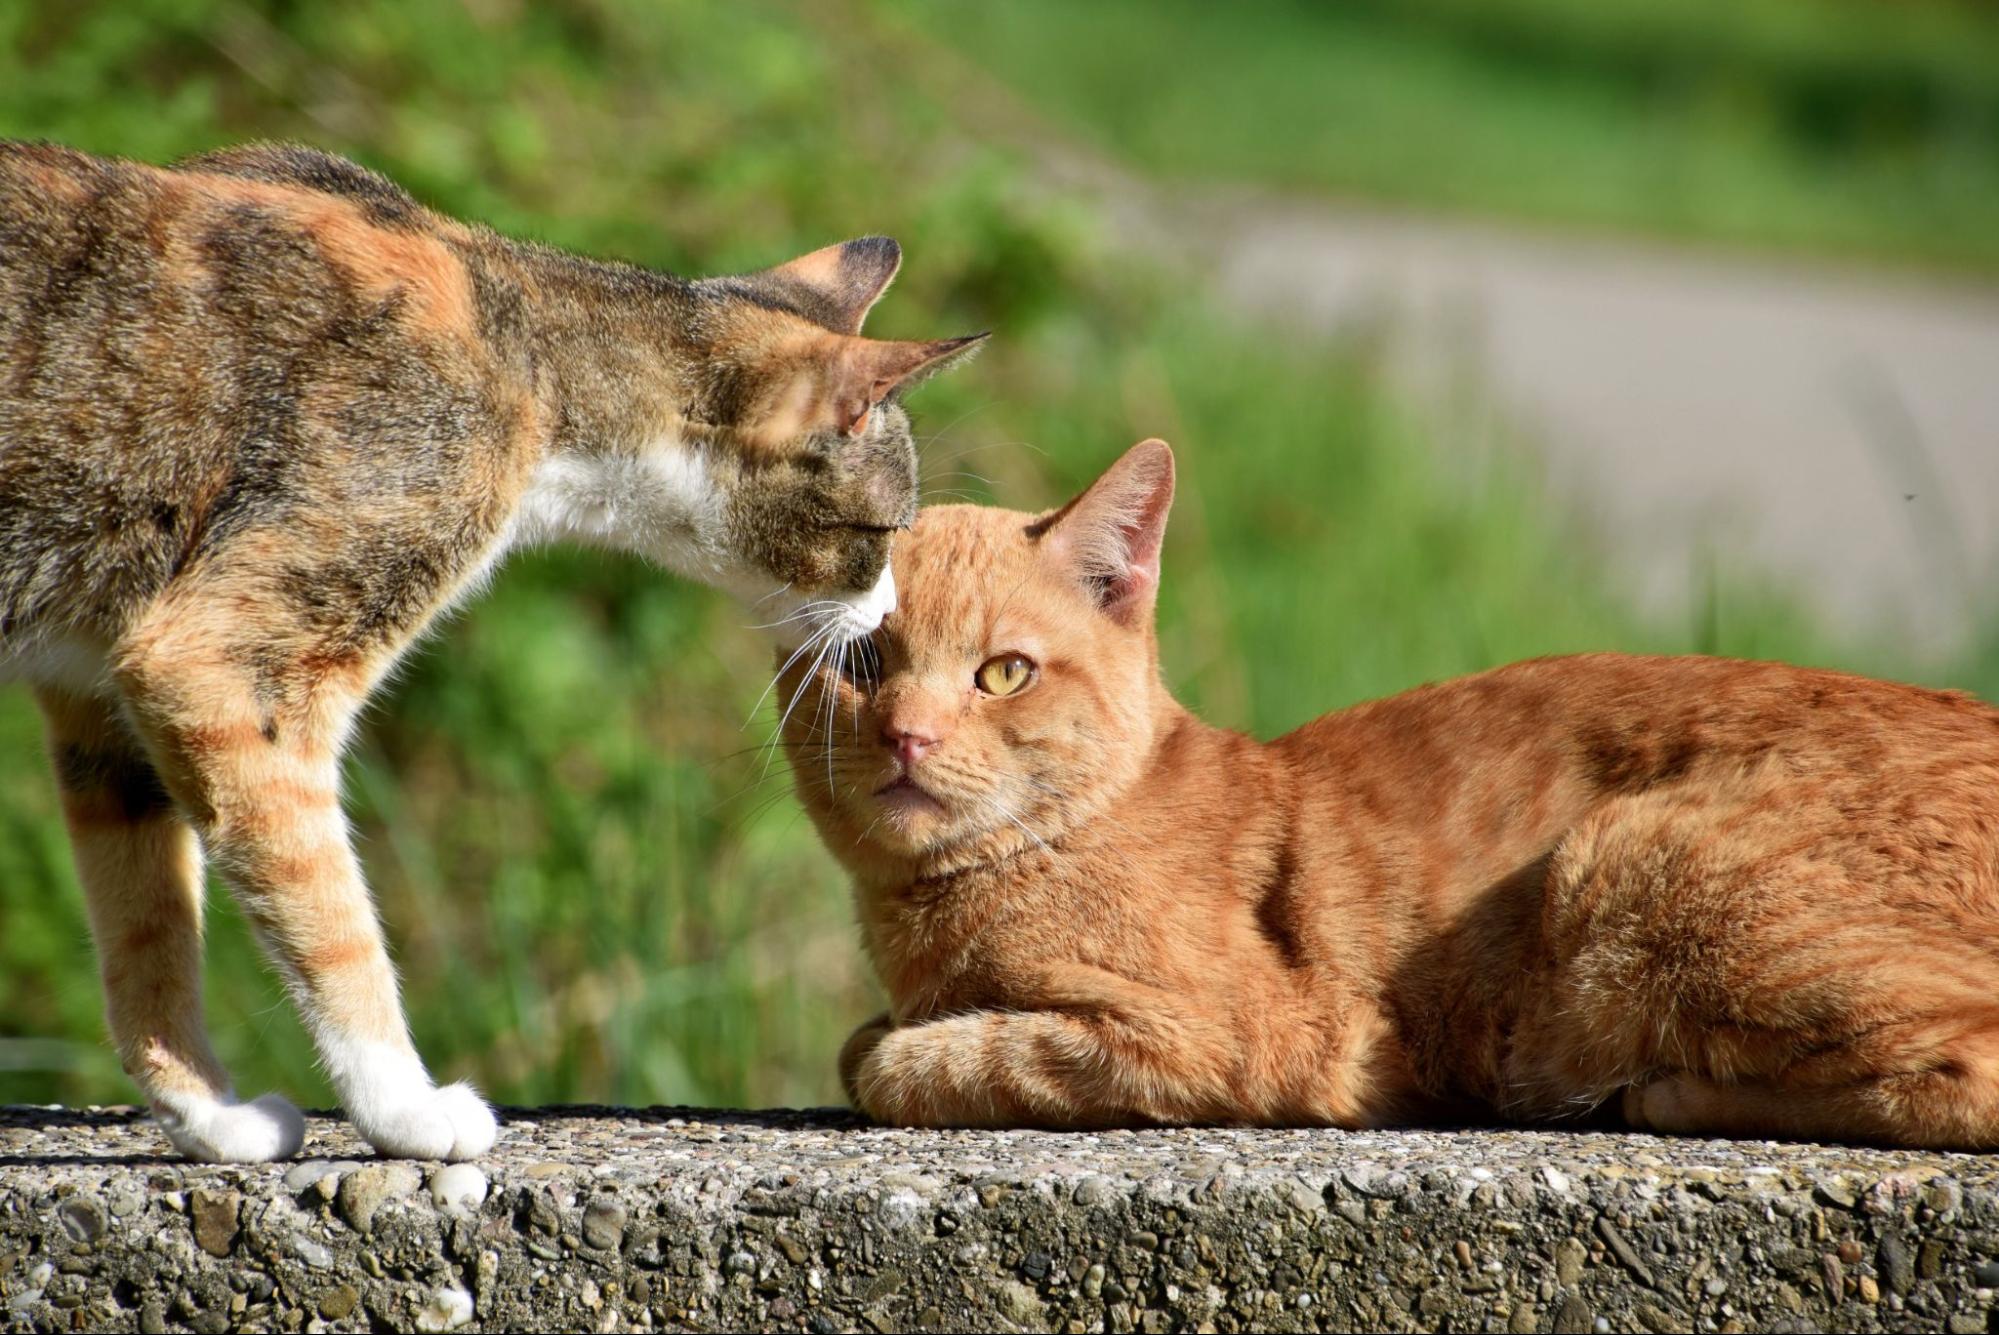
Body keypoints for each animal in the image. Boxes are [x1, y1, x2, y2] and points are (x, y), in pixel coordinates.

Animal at [0, 140, 983, 1159]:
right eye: (882, 532)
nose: (885, 615)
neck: (527, 351)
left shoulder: (95, 694)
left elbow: (146, 927)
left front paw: (209, 1118)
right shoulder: (216, 663)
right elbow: (328, 911)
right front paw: (406, 1108)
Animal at [783, 443, 1999, 1151]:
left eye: (1002, 674)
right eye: (861, 667)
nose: (907, 733)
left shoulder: (1231, 1035)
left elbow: (893, 1058)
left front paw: (915, 1047)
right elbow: (874, 1038)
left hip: (1635, 860)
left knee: (1965, 1077)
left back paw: (1662, 1092)